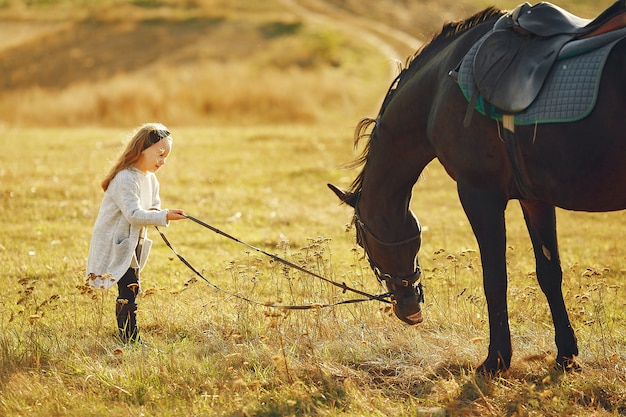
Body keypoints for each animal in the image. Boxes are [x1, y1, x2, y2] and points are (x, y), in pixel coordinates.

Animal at [330, 2, 620, 374]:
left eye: (361, 241)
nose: (410, 309)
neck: (441, 87)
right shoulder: (536, 199)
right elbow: (549, 273)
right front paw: (566, 354)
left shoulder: (479, 195)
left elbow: (494, 278)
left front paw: (496, 360)